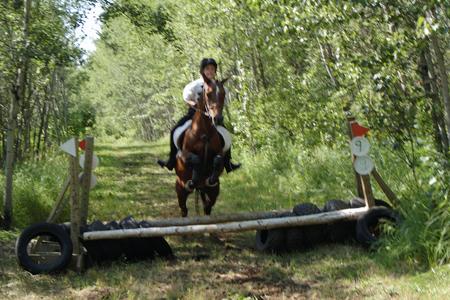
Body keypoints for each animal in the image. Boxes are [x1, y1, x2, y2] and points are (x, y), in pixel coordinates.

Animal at [173, 74, 229, 217]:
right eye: (208, 94)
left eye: (223, 94)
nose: (218, 119)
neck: (204, 134)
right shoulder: (184, 154)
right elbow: (196, 159)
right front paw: (193, 180)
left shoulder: (219, 153)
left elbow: (218, 160)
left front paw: (211, 178)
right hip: (180, 189)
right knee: (184, 210)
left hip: (212, 192)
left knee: (207, 207)